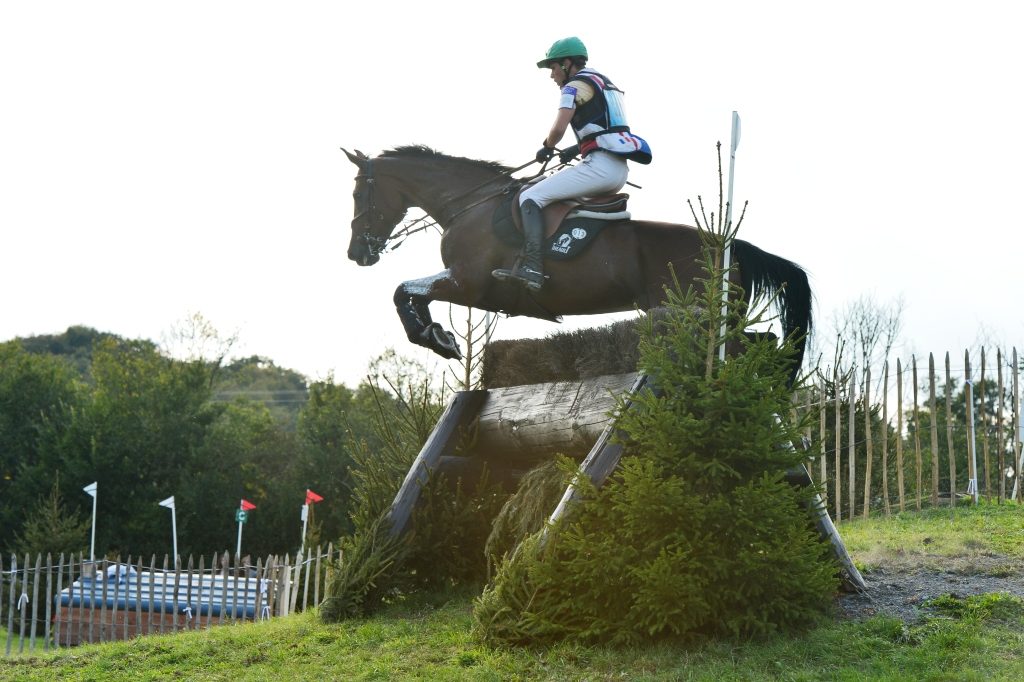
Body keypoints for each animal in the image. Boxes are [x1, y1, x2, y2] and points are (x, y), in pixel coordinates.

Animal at [344, 145, 815, 378]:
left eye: (358, 193)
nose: (356, 254)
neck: (469, 205)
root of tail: (731, 244)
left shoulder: (466, 282)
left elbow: (403, 291)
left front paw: (436, 337)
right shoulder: (464, 286)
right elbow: (411, 296)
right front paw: (438, 335)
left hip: (698, 314)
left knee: (748, 349)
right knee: (761, 343)